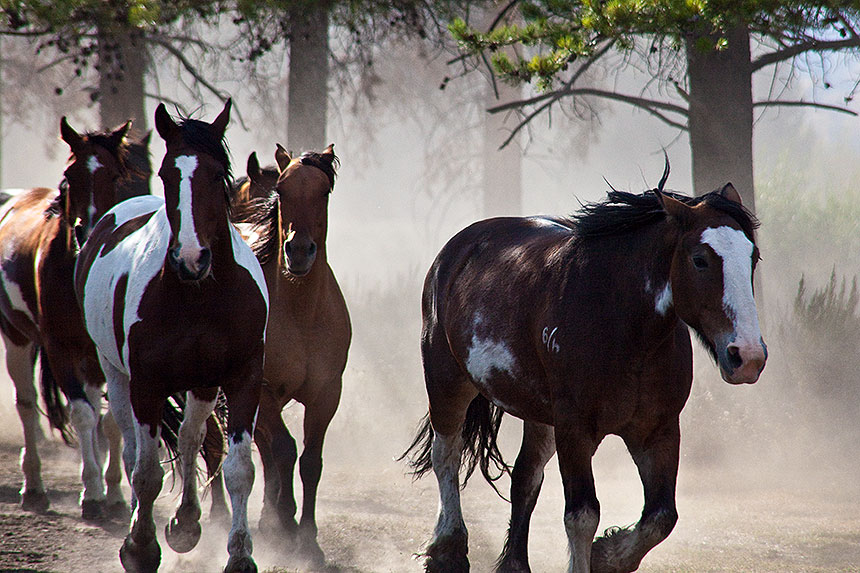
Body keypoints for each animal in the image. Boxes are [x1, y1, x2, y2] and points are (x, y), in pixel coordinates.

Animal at [0, 117, 133, 520]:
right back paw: (34, 488)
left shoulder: (102, 352)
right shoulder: (58, 346)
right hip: (17, 338)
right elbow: (84, 415)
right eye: (70, 174)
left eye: (115, 175)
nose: (88, 231)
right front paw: (92, 495)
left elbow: (110, 419)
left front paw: (114, 494)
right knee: (28, 405)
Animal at [75, 99, 268, 572]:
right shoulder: (147, 383)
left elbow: (238, 468)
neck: (198, 295)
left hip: (201, 385)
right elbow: (146, 473)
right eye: (167, 174)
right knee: (131, 450)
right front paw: (140, 548)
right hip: (116, 375)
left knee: (191, 439)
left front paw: (240, 554)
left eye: (216, 174)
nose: (192, 258)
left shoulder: (243, 377)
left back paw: (187, 523)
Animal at [233, 143, 352, 564]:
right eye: (281, 191)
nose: (298, 252)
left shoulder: (327, 394)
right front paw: (285, 523)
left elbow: (310, 461)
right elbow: (284, 451)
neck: (300, 312)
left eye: (324, 192)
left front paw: (308, 539)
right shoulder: (264, 391)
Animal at [404, 162, 764, 572]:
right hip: (447, 382)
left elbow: (660, 518)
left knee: (525, 477)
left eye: (752, 257)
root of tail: (456, 250)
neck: (618, 320)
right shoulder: (575, 429)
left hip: (541, 416)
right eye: (700, 259)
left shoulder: (658, 431)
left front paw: (608, 554)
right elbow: (582, 515)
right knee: (445, 455)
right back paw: (447, 548)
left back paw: (515, 563)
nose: (747, 356)